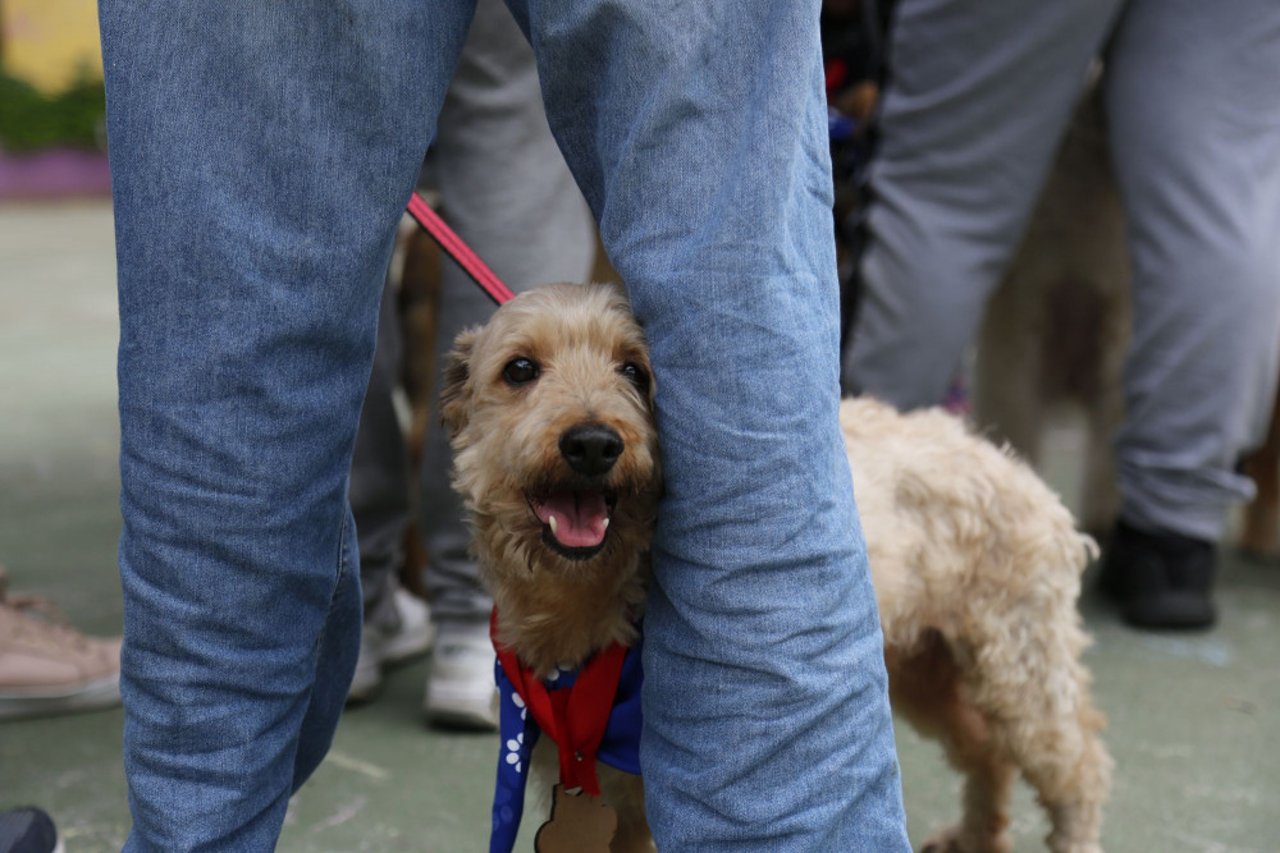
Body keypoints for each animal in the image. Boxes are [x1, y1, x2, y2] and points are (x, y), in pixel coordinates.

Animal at [437, 280, 1111, 850]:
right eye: (519, 369)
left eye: (634, 369)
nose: (594, 444)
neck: (586, 613)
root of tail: (1007, 461)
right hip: (924, 670)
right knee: (987, 753)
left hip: (1021, 674)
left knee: (1079, 768)